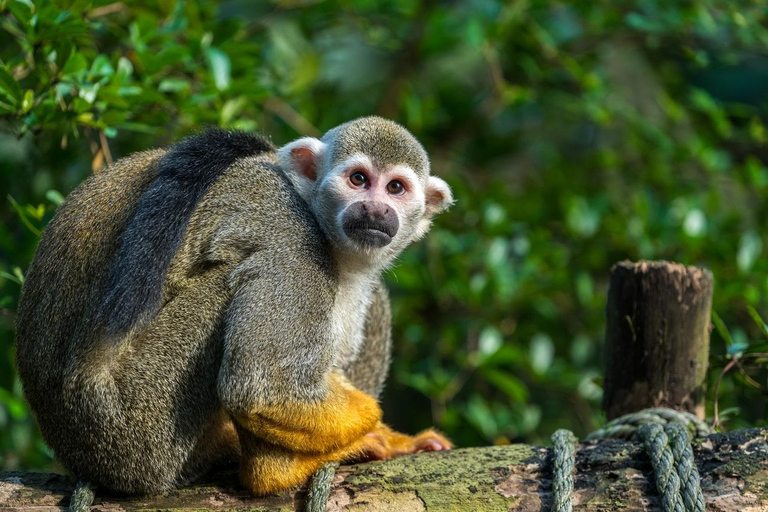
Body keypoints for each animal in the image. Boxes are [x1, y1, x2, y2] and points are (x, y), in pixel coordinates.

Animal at [15, 116, 454, 496]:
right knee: (232, 280)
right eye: (358, 179)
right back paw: (272, 470)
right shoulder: (293, 245)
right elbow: (268, 391)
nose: (375, 210)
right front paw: (370, 425)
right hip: (135, 429)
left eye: (396, 188)